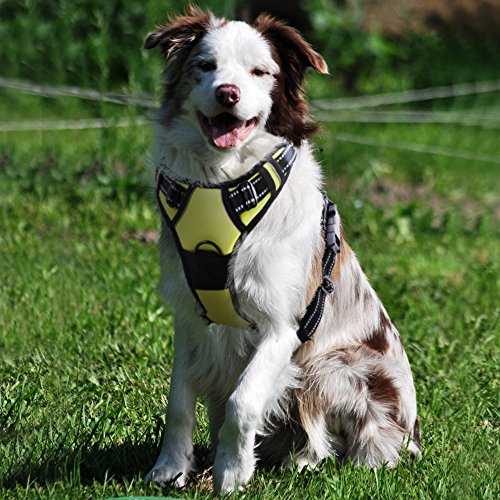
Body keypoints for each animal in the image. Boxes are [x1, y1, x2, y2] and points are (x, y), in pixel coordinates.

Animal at [144, 6, 420, 493]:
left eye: (259, 71)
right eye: (205, 66)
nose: (228, 93)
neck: (225, 183)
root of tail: (411, 436)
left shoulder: (281, 327)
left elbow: (244, 400)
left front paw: (232, 473)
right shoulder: (189, 316)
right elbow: (178, 400)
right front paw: (171, 468)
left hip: (332, 366)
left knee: (339, 441)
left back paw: (306, 463)